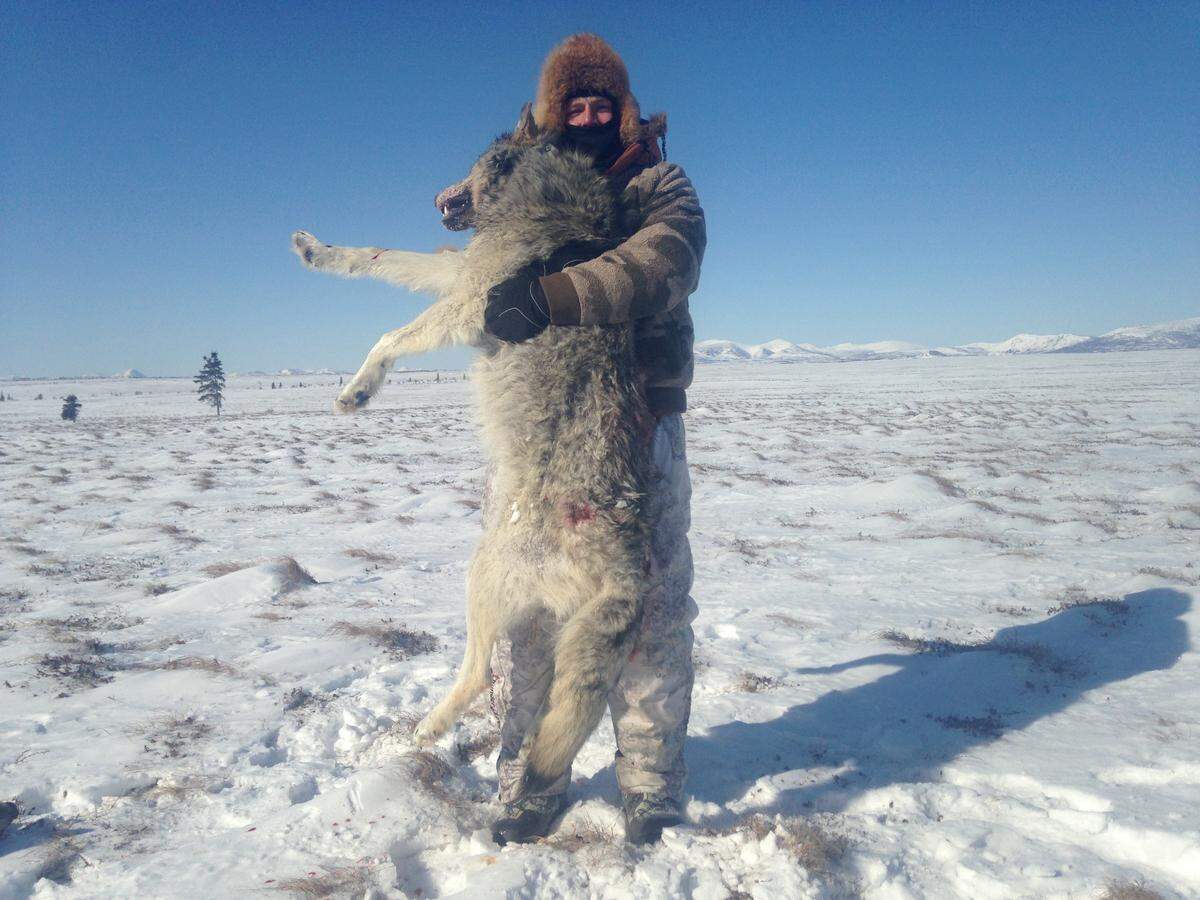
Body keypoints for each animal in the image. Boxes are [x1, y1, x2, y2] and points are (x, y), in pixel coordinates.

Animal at [291, 106, 654, 795]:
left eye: (471, 159)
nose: (438, 193)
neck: (546, 195)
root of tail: (629, 578)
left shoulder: (472, 301)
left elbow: (388, 335)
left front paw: (358, 391)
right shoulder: (455, 271)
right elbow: (382, 254)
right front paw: (315, 249)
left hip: (481, 571)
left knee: (481, 674)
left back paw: (425, 730)